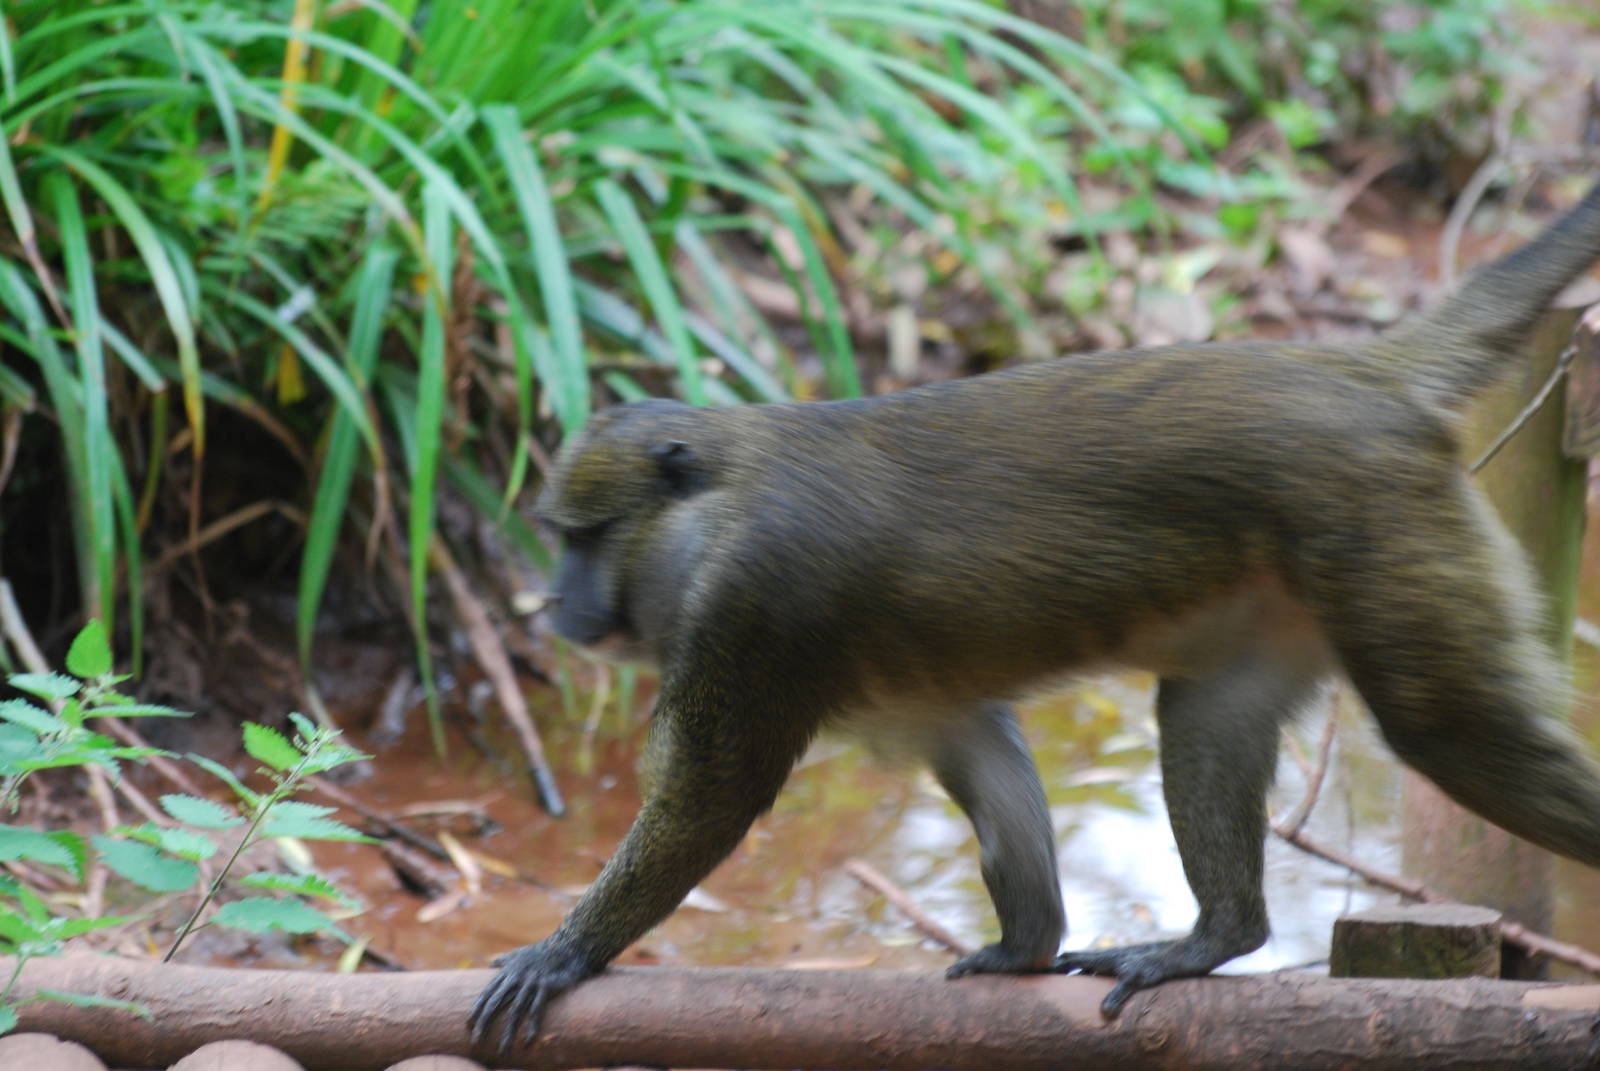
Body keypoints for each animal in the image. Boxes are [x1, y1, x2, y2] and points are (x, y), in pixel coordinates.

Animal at [470, 176, 1600, 1049]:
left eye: (585, 538)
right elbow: (985, 753)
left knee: (1450, 734)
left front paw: (564, 951)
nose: (556, 600)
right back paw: (1214, 939)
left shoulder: (751, 611)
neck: (717, 502)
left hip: (1383, 536)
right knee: (1203, 722)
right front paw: (1023, 948)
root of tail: (1356, 371)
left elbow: (710, 798)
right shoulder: (927, 699)